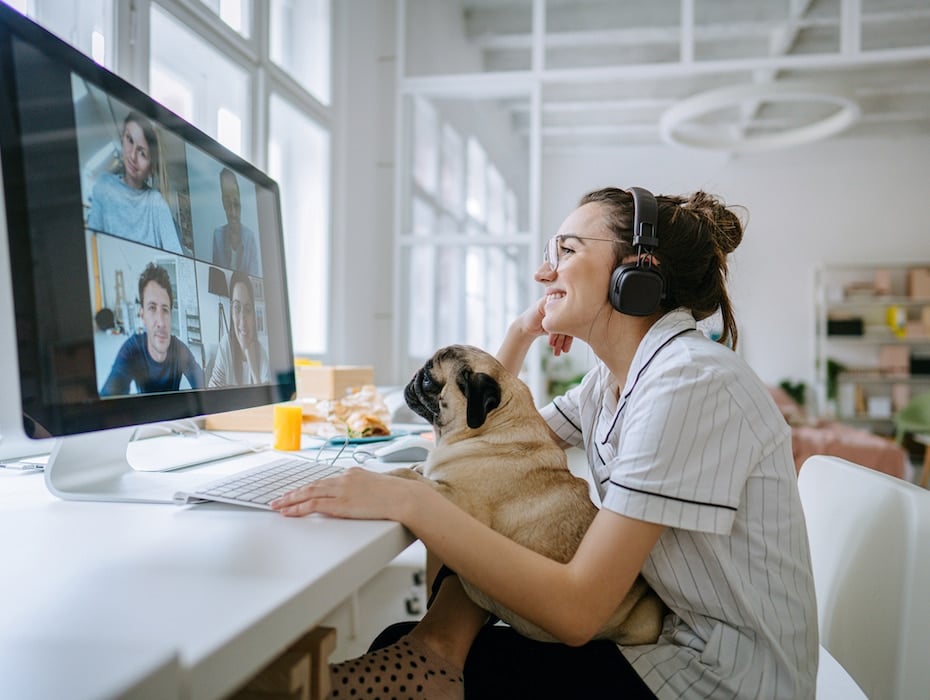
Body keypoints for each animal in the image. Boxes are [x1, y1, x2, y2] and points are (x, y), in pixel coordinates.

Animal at [388, 344, 664, 644]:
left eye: (428, 379)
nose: (414, 379)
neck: (492, 427)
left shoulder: (459, 506)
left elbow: (419, 483)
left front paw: (394, 476)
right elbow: (422, 472)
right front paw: (415, 466)